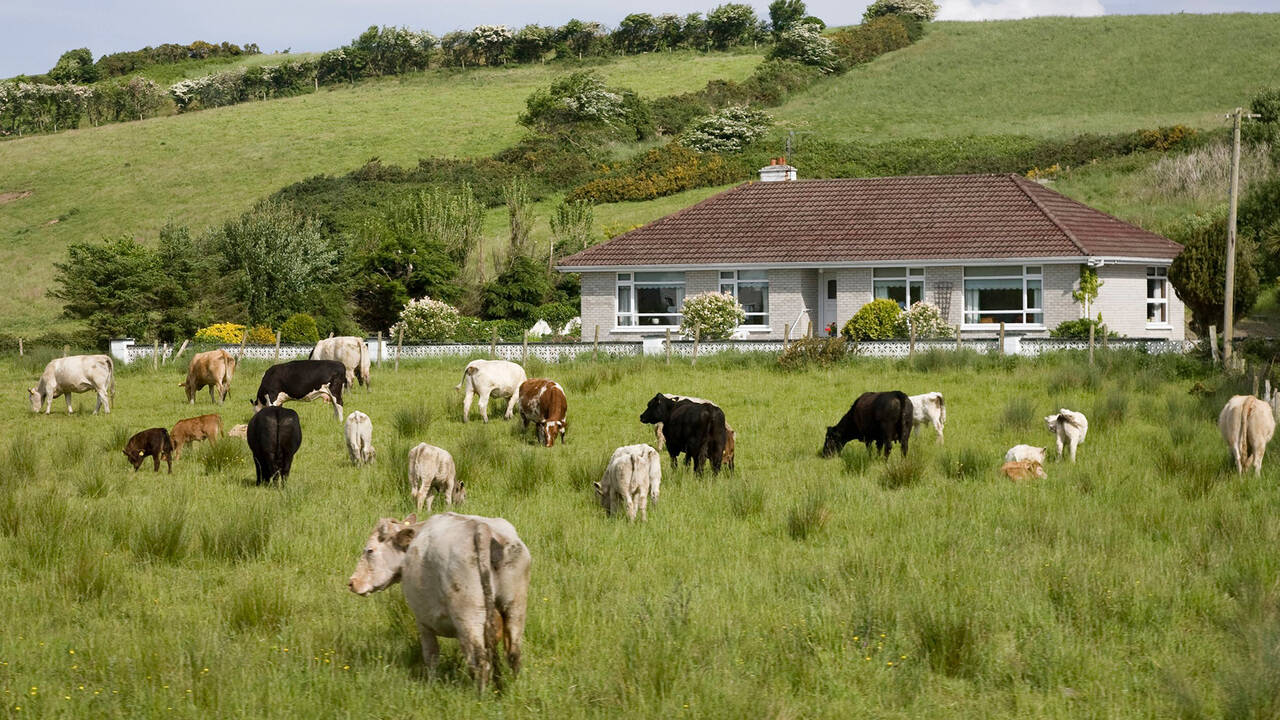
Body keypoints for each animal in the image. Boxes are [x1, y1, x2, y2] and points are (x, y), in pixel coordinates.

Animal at [345, 509, 529, 691]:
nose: (352, 582)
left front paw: (431, 684)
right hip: (514, 606)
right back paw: (511, 690)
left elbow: (431, 655)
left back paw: (481, 695)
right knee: (513, 653)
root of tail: (481, 528)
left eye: (370, 550)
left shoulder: (423, 620)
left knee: (480, 659)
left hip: (468, 614)